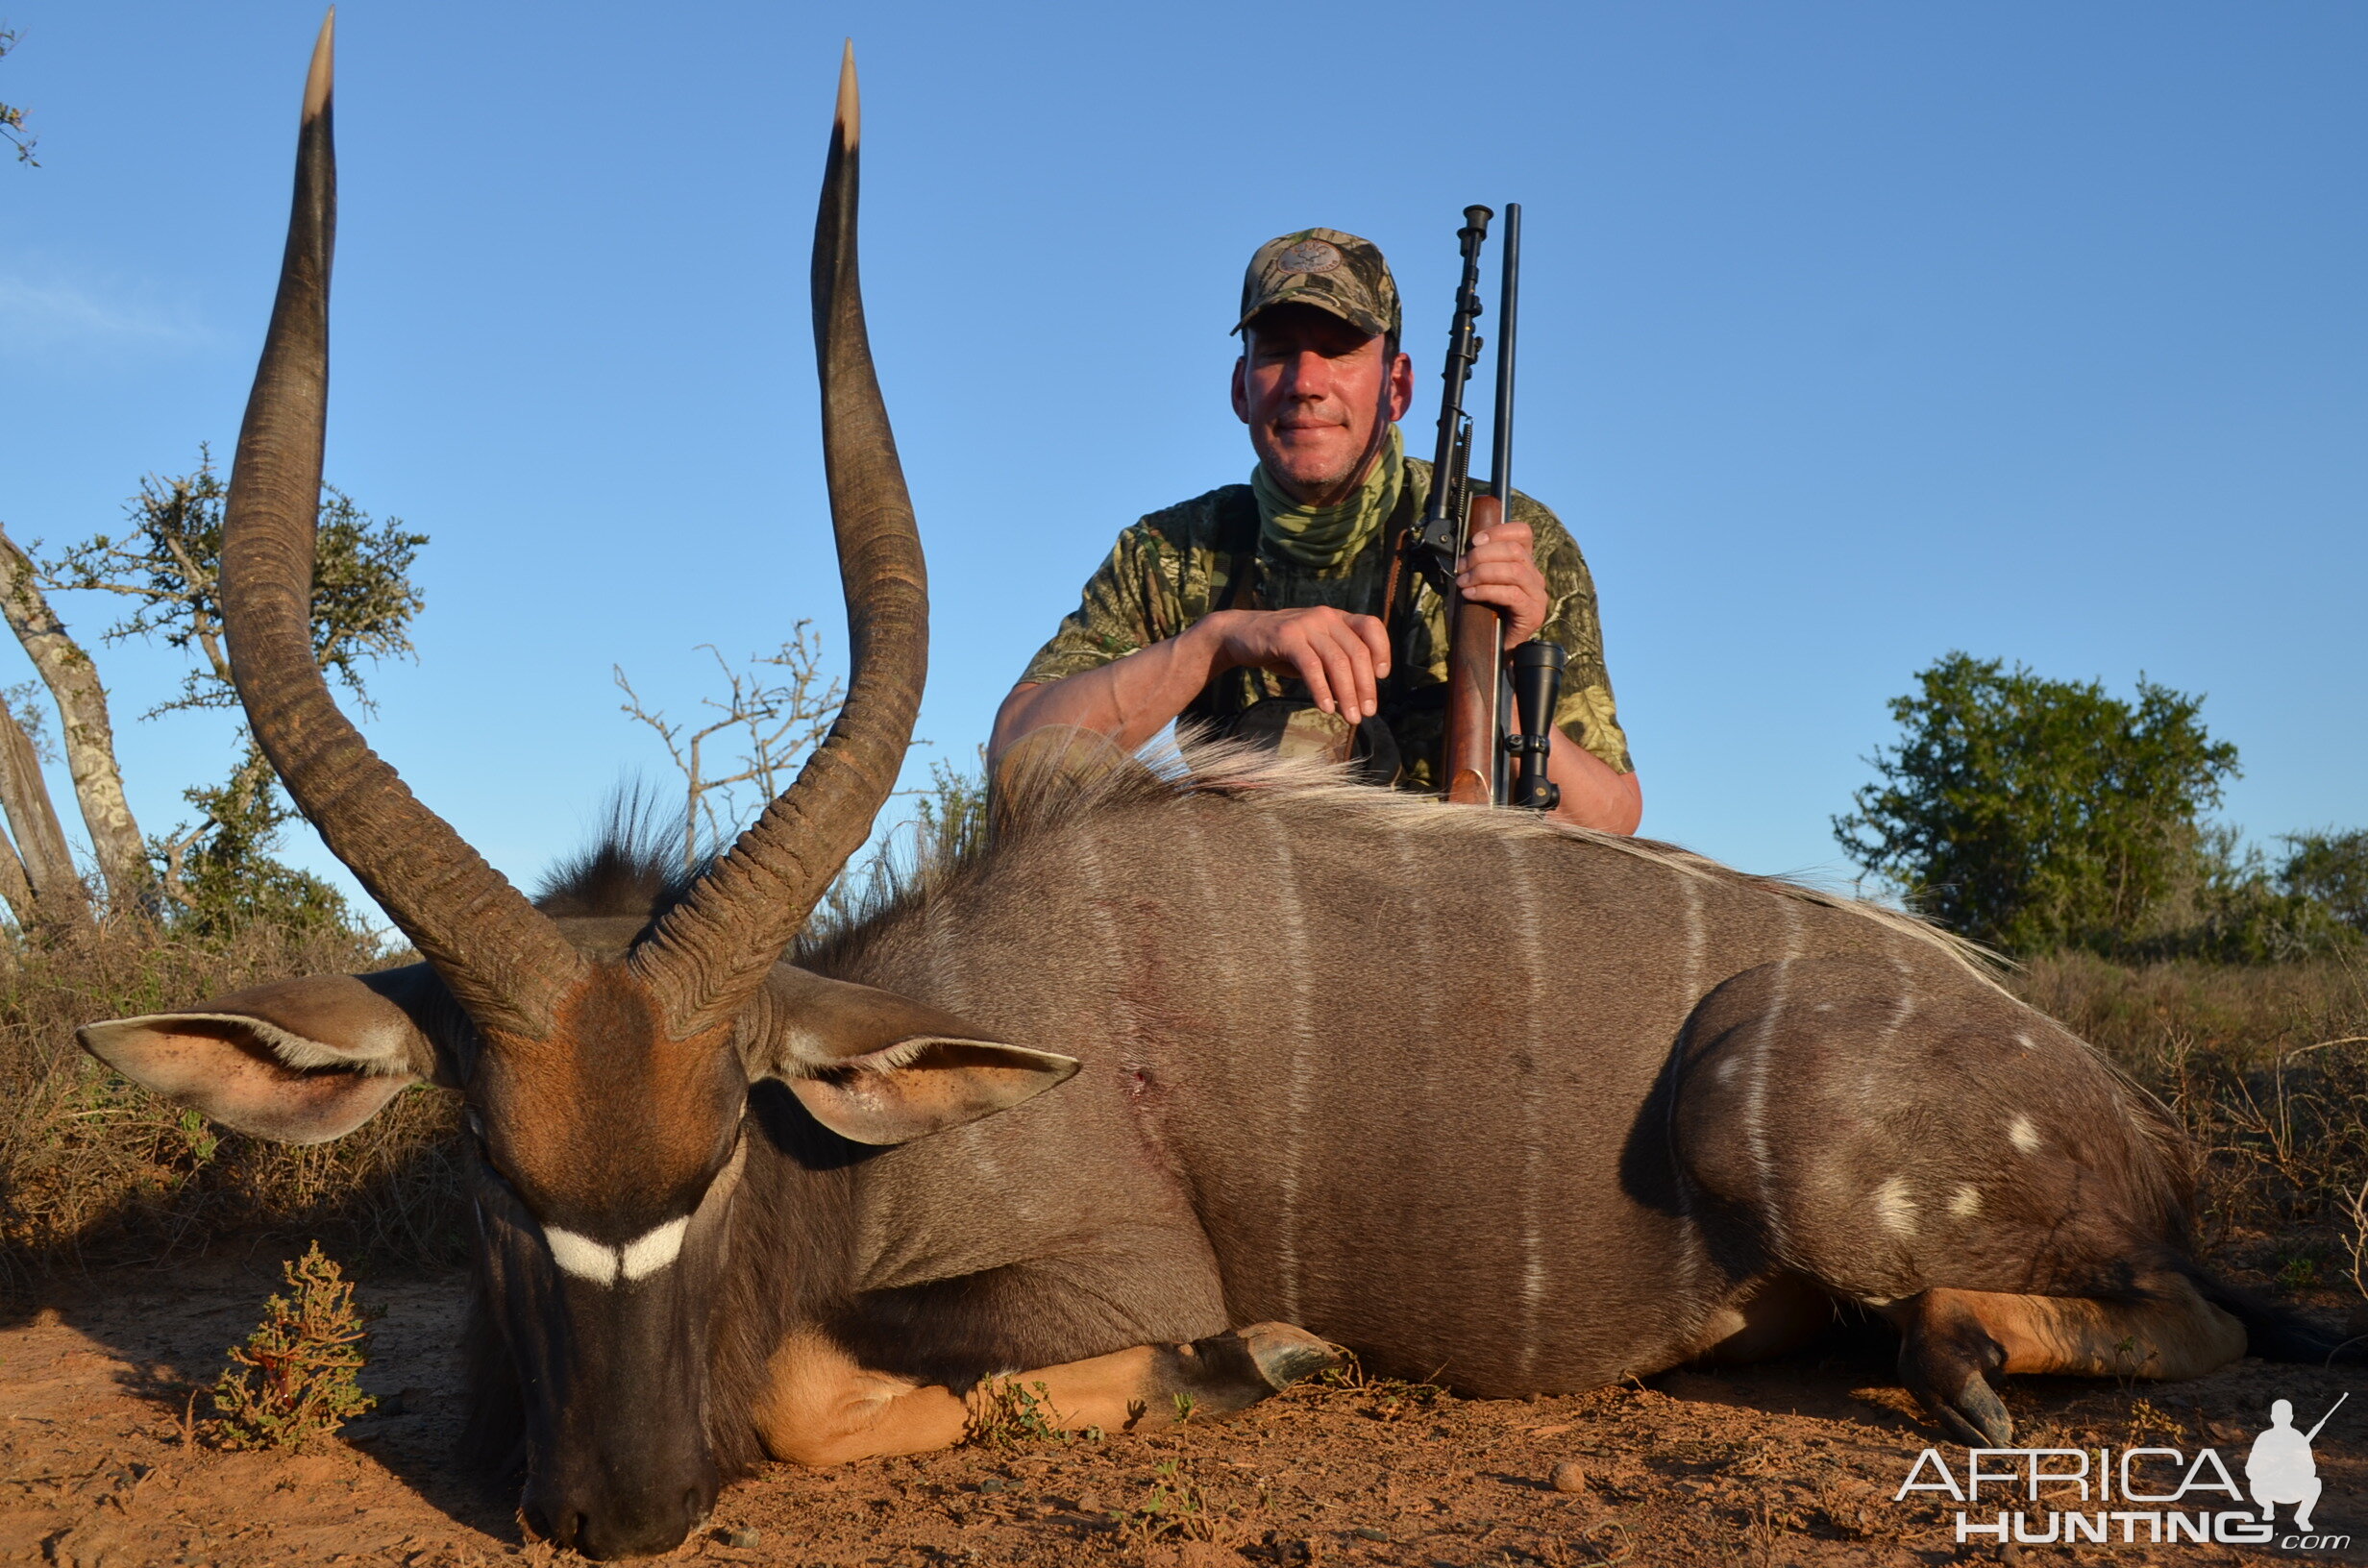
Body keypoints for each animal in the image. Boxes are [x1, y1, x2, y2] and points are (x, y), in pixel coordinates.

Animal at [78, 18, 2349, 1563]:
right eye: (482, 1161)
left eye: (716, 1152)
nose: (617, 1506)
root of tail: (2129, 1113)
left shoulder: (1101, 1268)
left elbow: (839, 1382)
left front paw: (1266, 1356)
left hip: (1794, 1141)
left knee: (2175, 1317)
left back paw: (1955, 1355)